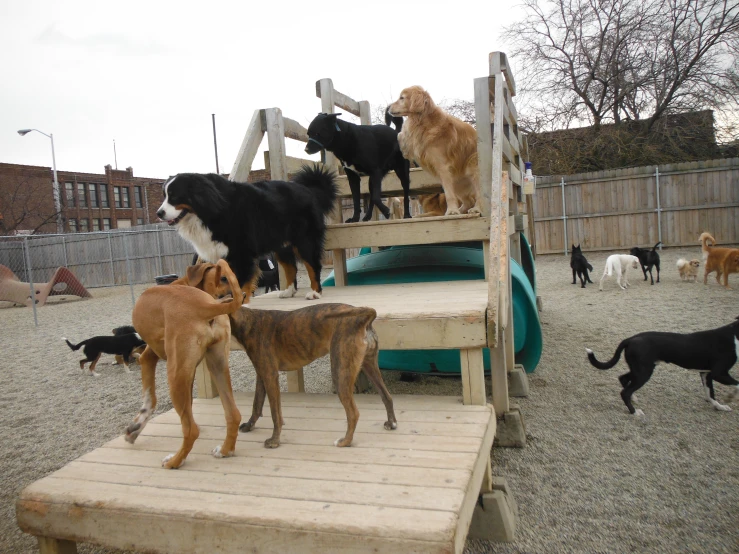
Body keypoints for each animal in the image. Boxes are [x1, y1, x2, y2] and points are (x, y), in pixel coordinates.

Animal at [125, 258, 244, 466]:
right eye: (222, 278)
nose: (245, 294)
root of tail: (206, 305)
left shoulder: (148, 358)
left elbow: (150, 398)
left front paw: (135, 428)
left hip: (175, 377)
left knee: (191, 430)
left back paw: (174, 461)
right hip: (217, 367)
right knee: (233, 414)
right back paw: (225, 450)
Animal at [160, 164, 340, 302]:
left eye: (174, 196)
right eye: (164, 196)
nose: (159, 213)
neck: (212, 207)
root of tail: (309, 190)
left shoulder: (241, 253)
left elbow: (239, 281)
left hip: (305, 241)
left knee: (313, 265)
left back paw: (315, 292)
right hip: (281, 245)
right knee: (291, 267)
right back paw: (289, 291)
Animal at [230, 302, 398, 448]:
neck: (249, 322)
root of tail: (363, 319)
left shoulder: (270, 376)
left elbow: (275, 413)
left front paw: (274, 440)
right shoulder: (262, 374)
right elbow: (257, 404)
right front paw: (249, 425)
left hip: (340, 374)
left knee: (353, 413)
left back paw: (345, 441)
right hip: (369, 366)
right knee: (387, 396)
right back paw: (391, 423)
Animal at [588, 314, 739, 414]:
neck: (734, 335)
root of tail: (630, 339)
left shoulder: (706, 373)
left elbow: (710, 393)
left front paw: (719, 406)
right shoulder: (719, 373)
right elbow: (737, 384)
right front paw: (730, 397)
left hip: (640, 369)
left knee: (623, 379)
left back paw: (634, 398)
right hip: (644, 372)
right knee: (625, 392)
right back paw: (634, 412)